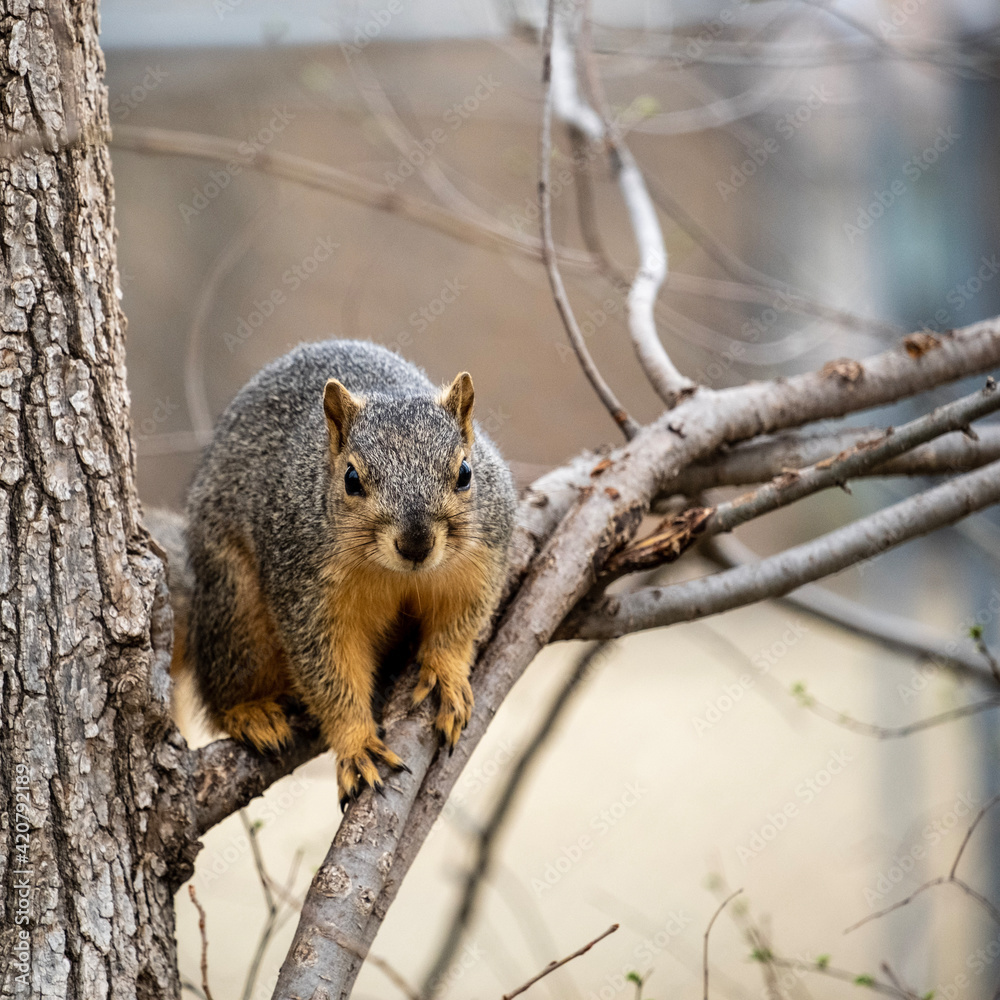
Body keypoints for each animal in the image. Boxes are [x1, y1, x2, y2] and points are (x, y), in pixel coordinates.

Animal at [182, 339, 516, 805]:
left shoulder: (481, 561)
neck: (400, 575)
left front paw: (446, 674)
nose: (416, 544)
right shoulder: (305, 591)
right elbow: (329, 671)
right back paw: (251, 713)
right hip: (234, 608)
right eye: (352, 479)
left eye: (466, 473)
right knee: (223, 687)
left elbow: (459, 626)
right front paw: (357, 746)